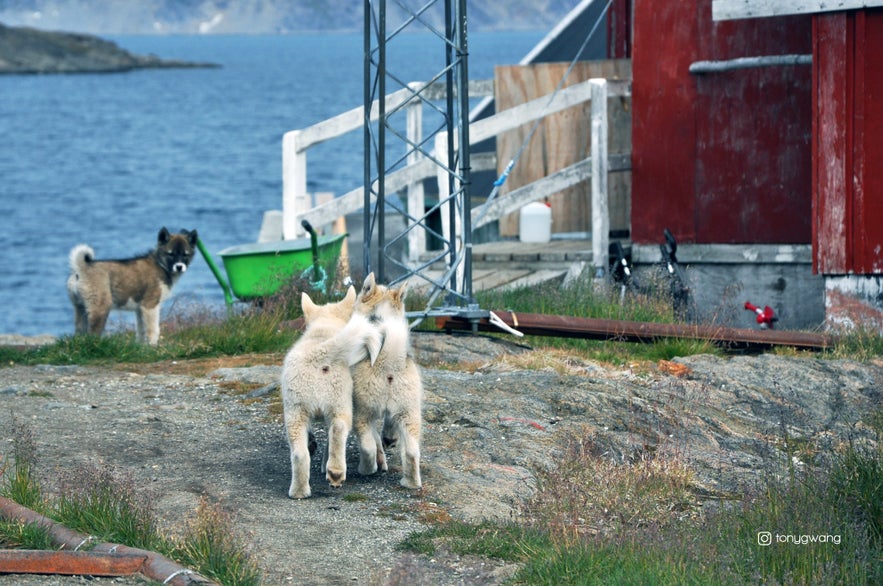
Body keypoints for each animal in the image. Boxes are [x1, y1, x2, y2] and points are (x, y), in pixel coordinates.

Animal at [66, 226, 198, 340]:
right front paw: (153, 349)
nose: (179, 267)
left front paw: (142, 349)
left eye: (185, 254)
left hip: (80, 308)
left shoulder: (140, 309)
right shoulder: (150, 305)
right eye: (170, 254)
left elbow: (141, 332)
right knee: (92, 334)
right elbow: (154, 331)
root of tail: (81, 267)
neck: (160, 265)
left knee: (79, 332)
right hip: (100, 308)